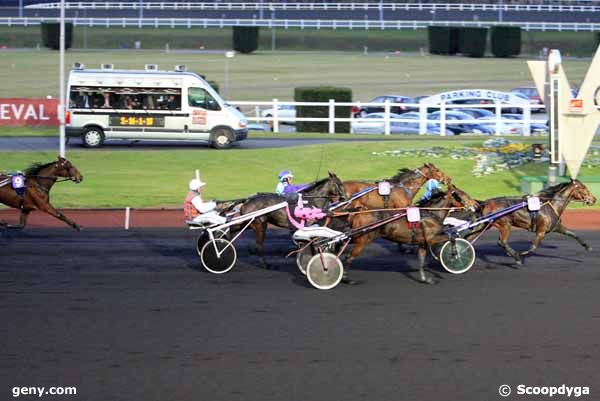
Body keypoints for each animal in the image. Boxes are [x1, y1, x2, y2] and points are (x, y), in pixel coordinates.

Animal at [342, 183, 478, 282]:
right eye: (463, 195)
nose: (476, 204)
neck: (430, 213)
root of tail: (358, 213)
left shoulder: (422, 243)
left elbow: (421, 261)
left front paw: (425, 279)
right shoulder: (431, 238)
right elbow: (452, 237)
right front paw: (454, 253)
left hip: (357, 238)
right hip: (363, 240)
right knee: (349, 257)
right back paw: (346, 278)